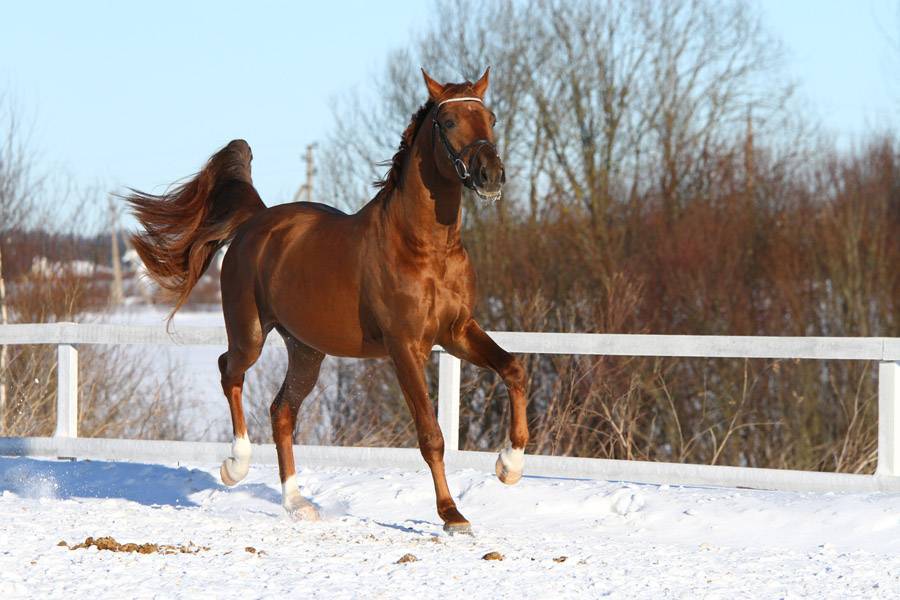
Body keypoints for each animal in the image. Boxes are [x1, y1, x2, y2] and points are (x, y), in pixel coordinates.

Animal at [126, 68, 528, 532]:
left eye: (491, 119)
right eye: (447, 122)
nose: (491, 176)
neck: (426, 248)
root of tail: (255, 222)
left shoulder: (457, 332)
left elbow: (513, 368)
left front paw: (509, 466)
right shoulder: (405, 346)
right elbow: (431, 434)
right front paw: (451, 514)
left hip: (306, 350)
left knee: (282, 410)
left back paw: (297, 502)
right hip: (250, 334)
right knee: (229, 370)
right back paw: (235, 466)